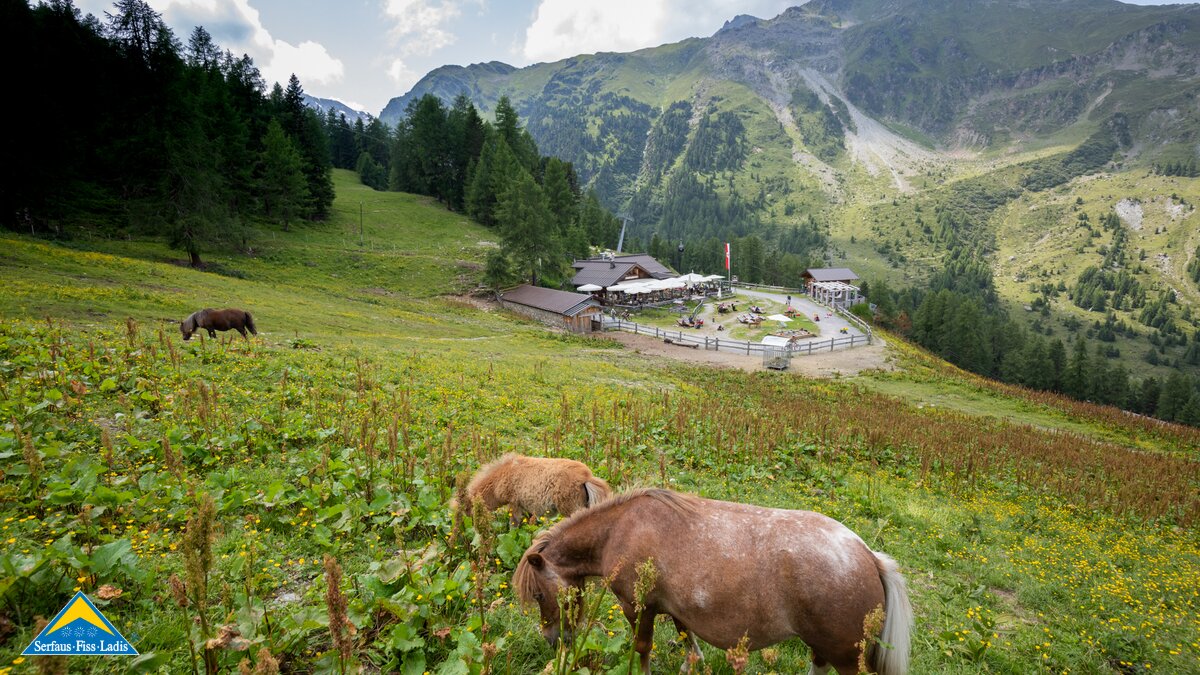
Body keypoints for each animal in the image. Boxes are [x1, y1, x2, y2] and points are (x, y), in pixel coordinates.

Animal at [457, 454, 612, 525]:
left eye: (466, 508)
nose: (471, 524)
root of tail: (586, 477)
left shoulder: (514, 503)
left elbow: (513, 524)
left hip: (571, 509)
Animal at [513, 488, 912, 675]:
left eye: (539, 596)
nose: (554, 640)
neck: (620, 529)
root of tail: (869, 556)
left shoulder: (638, 607)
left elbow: (642, 648)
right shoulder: (676, 607)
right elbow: (686, 637)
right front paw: (691, 662)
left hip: (846, 657)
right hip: (824, 647)